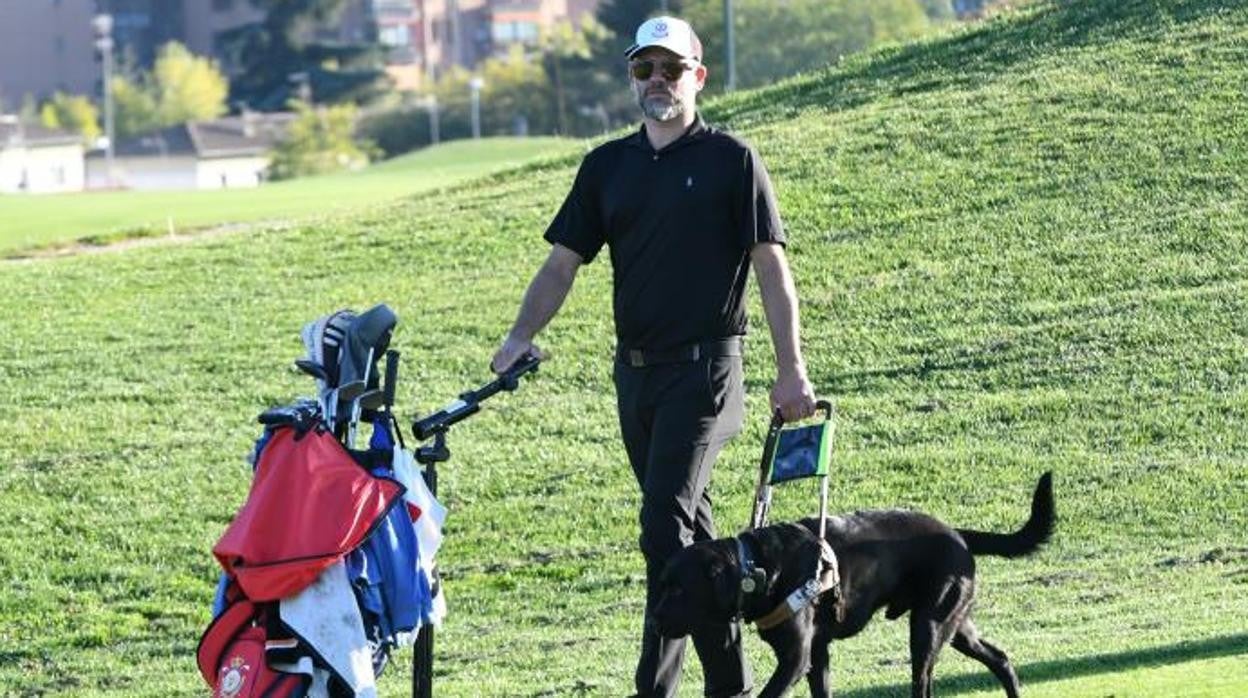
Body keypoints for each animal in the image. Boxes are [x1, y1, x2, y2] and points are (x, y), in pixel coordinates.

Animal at [653, 471, 1053, 694]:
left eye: (679, 589)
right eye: (662, 585)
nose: (654, 621)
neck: (759, 567)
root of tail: (957, 534)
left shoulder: (796, 658)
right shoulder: (817, 653)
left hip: (929, 626)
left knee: (924, 683)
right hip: (956, 624)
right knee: (1000, 657)